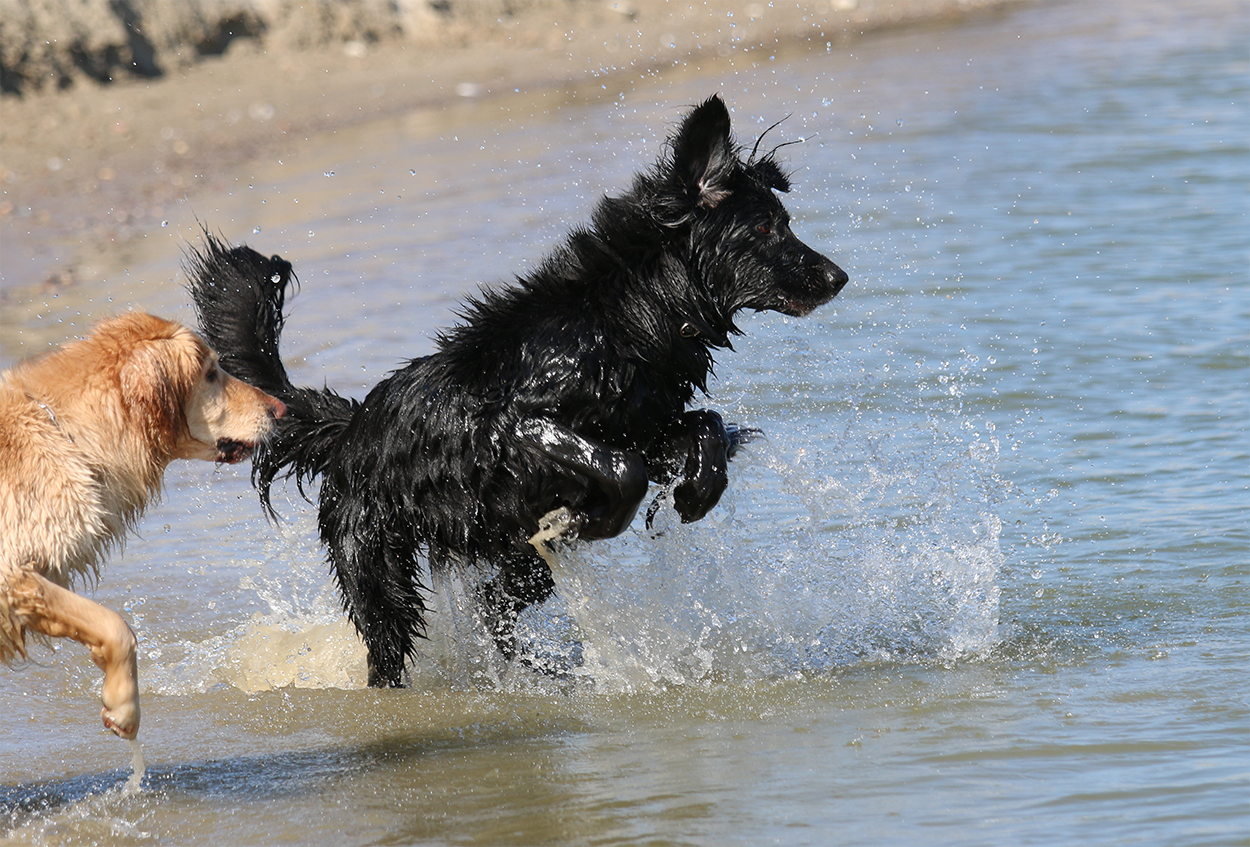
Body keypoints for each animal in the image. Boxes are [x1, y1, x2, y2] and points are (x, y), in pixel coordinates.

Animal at [0, 312, 285, 738]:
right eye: (211, 373)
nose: (280, 408)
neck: (67, 433)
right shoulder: (11, 573)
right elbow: (117, 627)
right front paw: (124, 706)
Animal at [188, 95, 848, 688]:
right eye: (764, 226)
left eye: (785, 222)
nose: (839, 277)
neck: (626, 314)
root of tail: (352, 428)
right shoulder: (517, 425)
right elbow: (620, 467)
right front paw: (595, 520)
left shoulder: (648, 423)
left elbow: (702, 429)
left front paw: (696, 492)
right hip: (379, 568)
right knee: (398, 649)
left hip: (508, 555)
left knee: (494, 612)